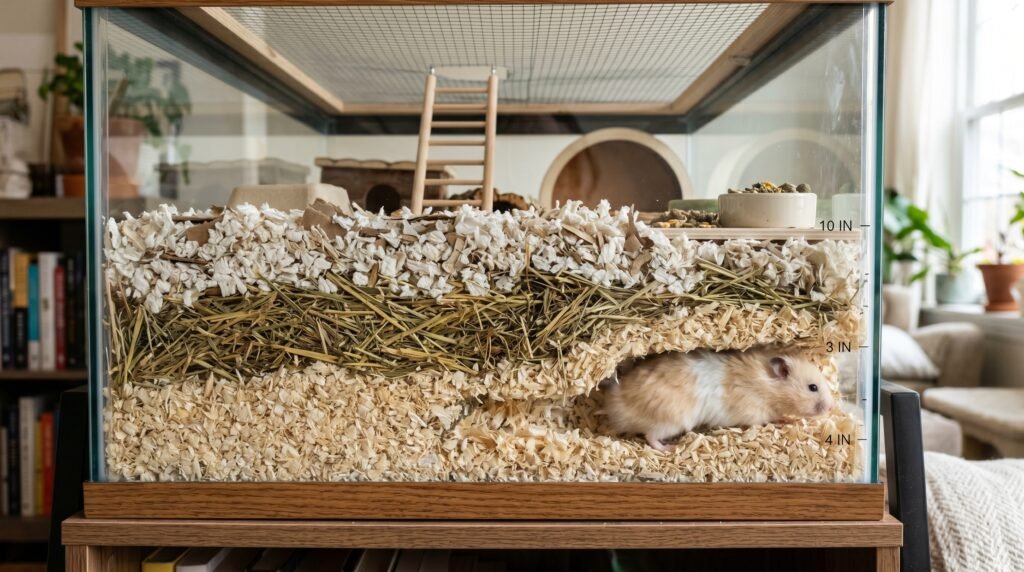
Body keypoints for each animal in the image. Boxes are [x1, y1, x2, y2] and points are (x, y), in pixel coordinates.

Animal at [604, 348, 833, 452]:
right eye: (813, 387)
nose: (830, 407)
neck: (766, 386)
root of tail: (617, 404)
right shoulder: (755, 413)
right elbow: (769, 420)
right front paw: (786, 421)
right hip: (668, 421)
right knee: (650, 437)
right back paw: (669, 448)